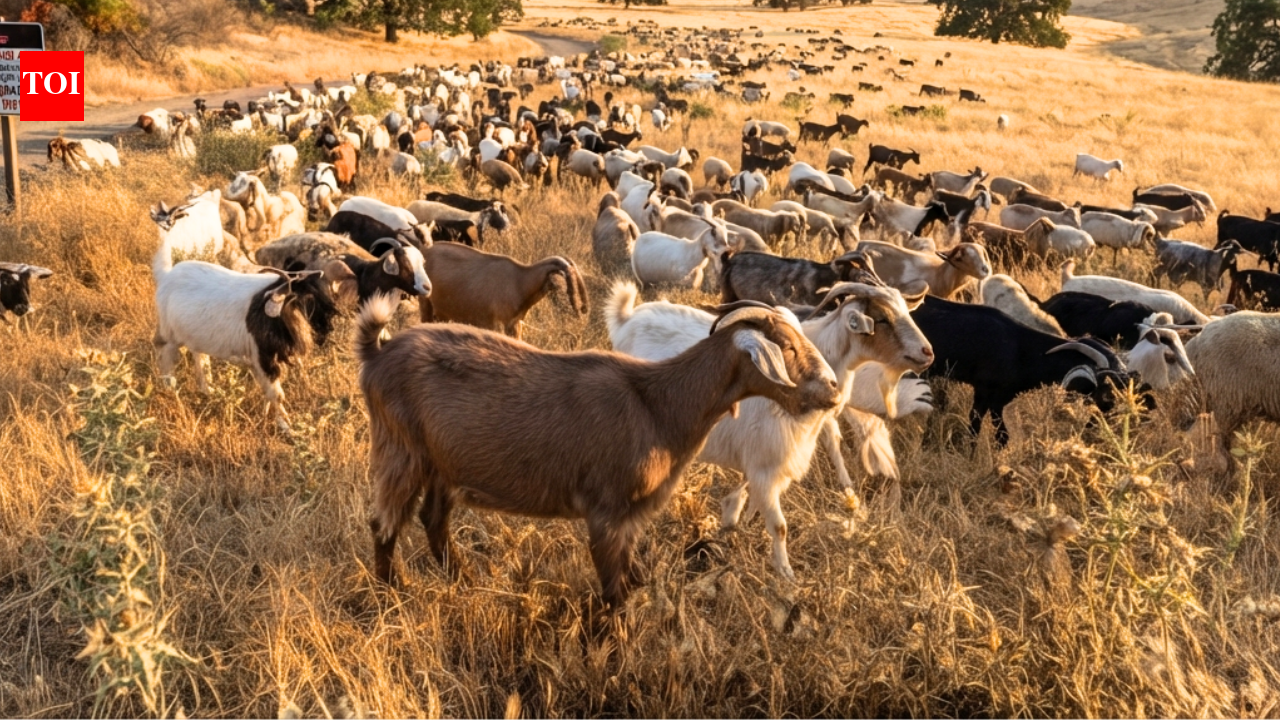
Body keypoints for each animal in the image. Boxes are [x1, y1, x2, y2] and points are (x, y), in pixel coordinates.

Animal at [355, 293, 842, 605]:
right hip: (401, 450)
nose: (834, 390)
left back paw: (463, 579)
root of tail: (377, 353)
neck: (660, 403)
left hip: (442, 464)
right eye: (787, 346)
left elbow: (630, 583)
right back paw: (392, 594)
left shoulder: (632, 517)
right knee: (383, 522)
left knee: (433, 519)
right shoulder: (607, 513)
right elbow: (614, 592)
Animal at [417, 243, 586, 339]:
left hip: (442, 313)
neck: (520, 281)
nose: (580, 310)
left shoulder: (515, 325)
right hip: (426, 303)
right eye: (565, 283)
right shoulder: (496, 324)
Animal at [607, 281, 932, 579]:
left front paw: (736, 522)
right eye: (882, 319)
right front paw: (785, 573)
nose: (927, 352)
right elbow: (780, 518)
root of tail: (628, 317)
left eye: (906, 311)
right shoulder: (768, 452)